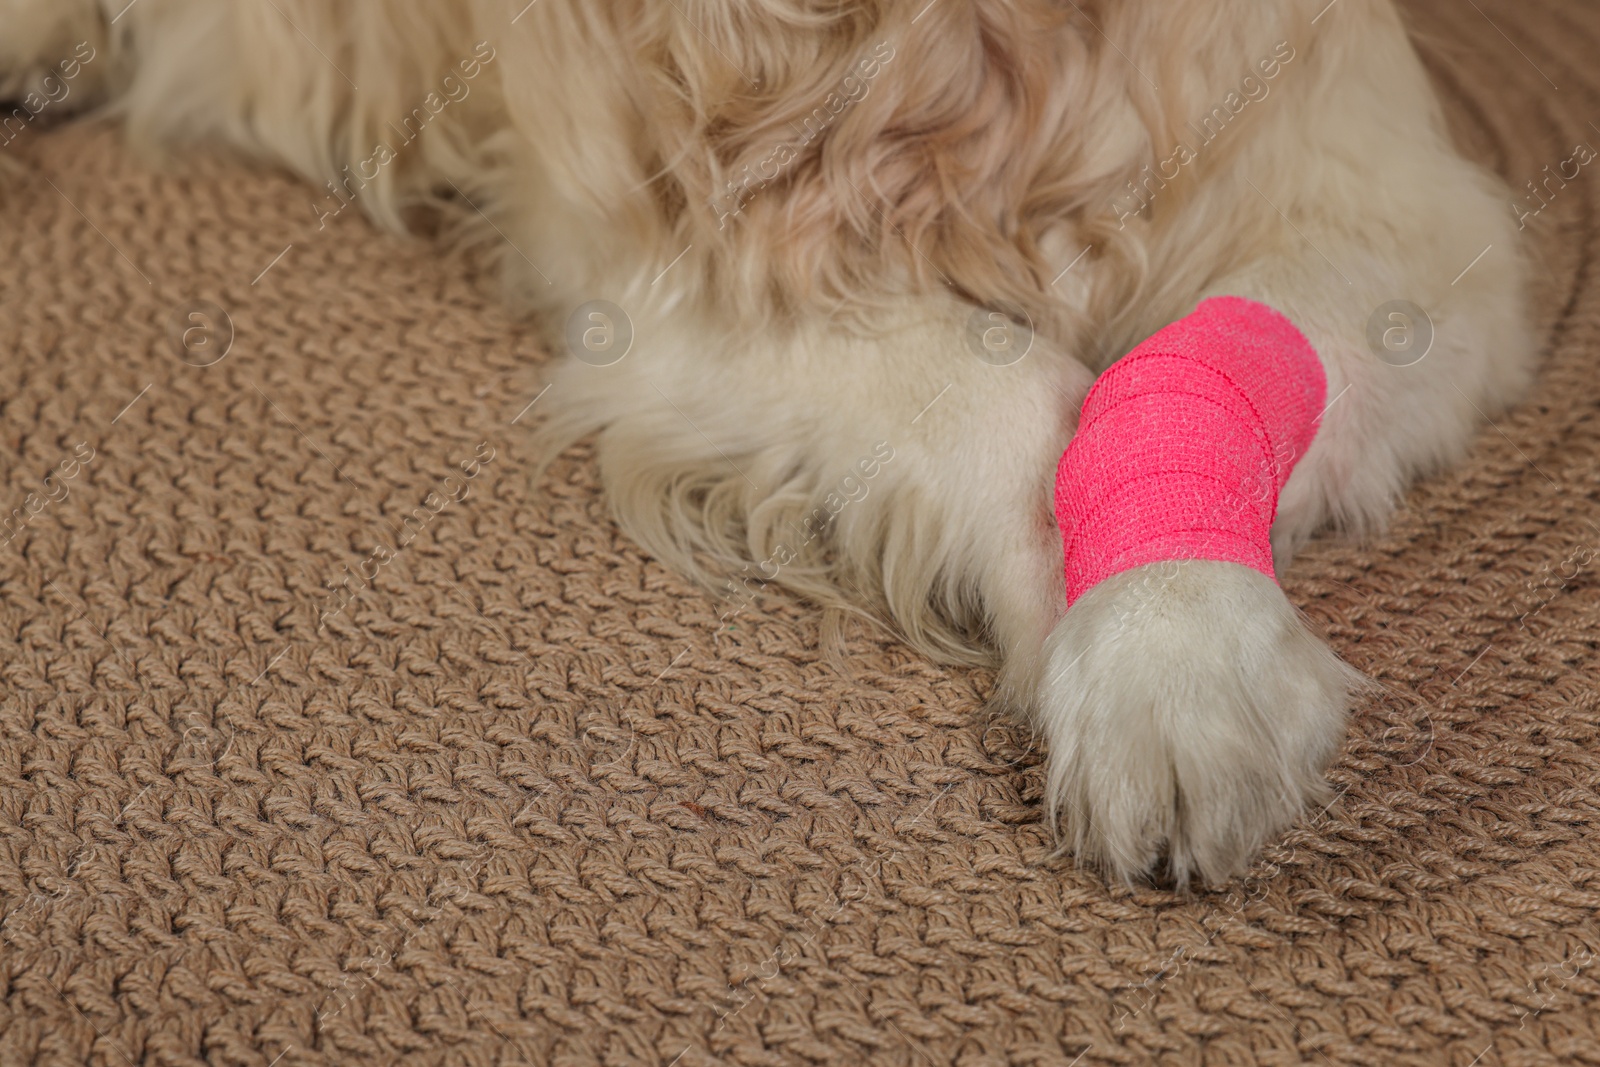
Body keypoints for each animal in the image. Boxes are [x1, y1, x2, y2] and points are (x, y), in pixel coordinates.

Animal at [0, 0, 1536, 883]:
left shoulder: (1391, 212)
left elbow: (1192, 355)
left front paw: (1174, 647)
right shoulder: (681, 270)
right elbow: (1002, 382)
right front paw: (1134, 668)